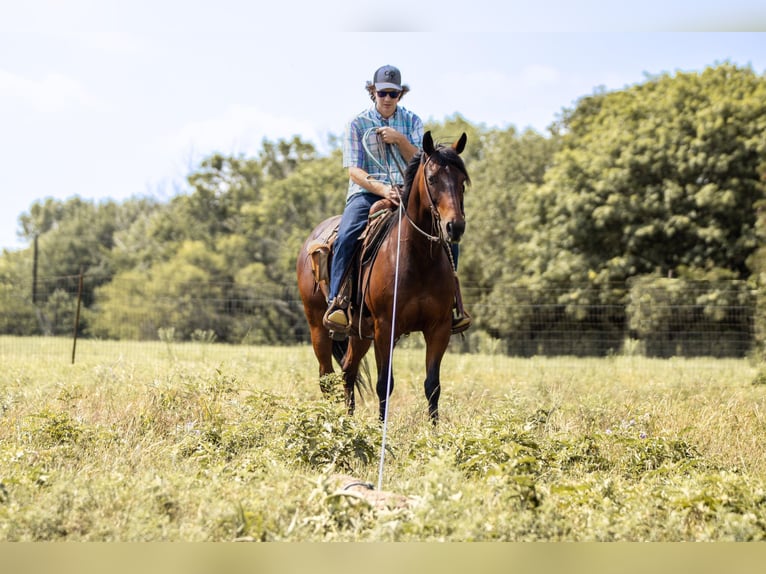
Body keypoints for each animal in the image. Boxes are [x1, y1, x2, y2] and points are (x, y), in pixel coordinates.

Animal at [296, 133, 472, 426]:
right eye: (432, 178)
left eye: (462, 182)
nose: (454, 226)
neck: (418, 257)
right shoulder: (385, 327)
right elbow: (383, 384)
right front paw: (381, 429)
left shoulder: (439, 328)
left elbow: (432, 384)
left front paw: (435, 431)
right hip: (318, 326)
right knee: (326, 377)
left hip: (359, 333)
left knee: (348, 371)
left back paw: (348, 421)